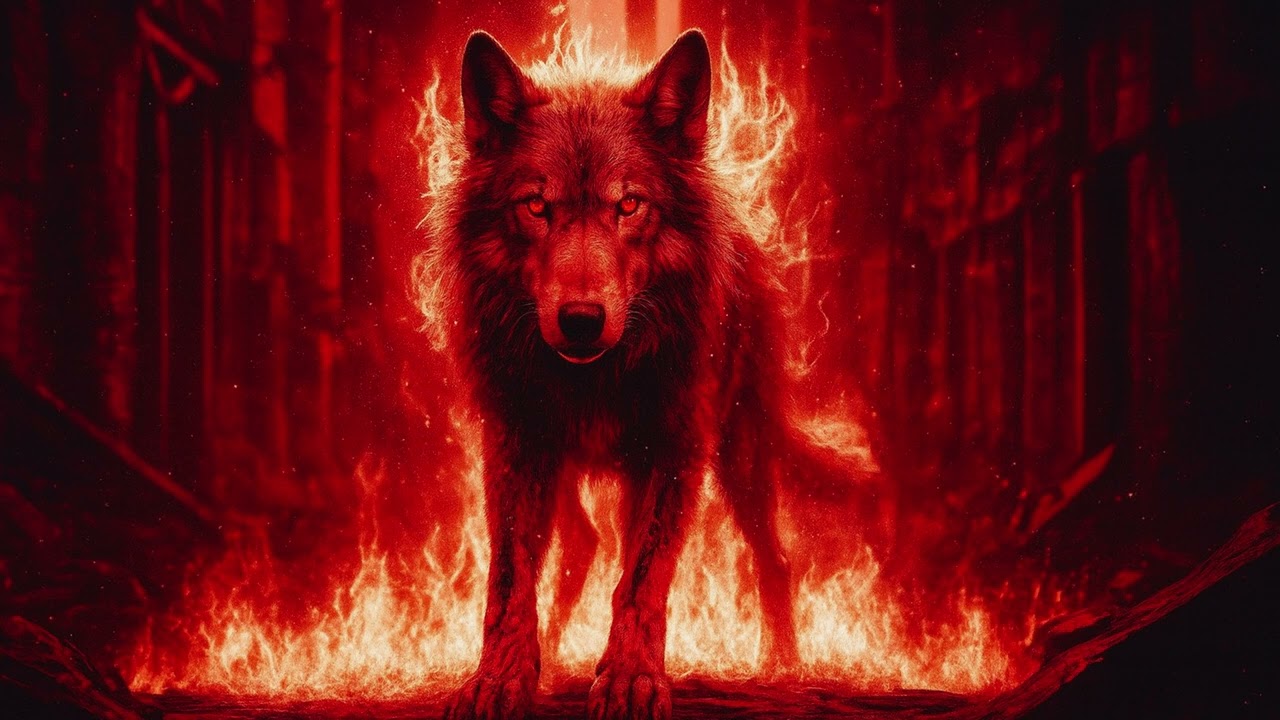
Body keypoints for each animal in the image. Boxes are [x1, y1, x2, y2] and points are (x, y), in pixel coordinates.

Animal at [436, 29, 857, 720]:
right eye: (537, 205)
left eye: (629, 205)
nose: (581, 320)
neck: (597, 378)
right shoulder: (516, 444)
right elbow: (509, 578)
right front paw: (500, 679)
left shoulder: (676, 449)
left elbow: (642, 577)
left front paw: (631, 677)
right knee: (582, 545)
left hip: (740, 457)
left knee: (774, 560)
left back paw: (783, 666)